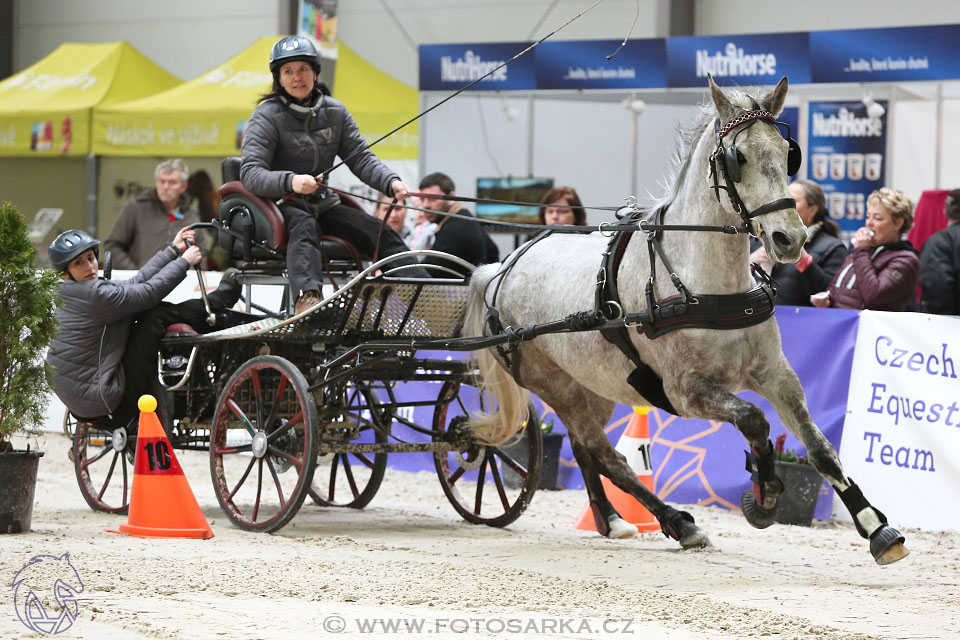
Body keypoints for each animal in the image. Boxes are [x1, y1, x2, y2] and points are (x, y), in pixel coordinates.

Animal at [464, 76, 908, 564]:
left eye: (786, 152)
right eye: (738, 157)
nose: (789, 239)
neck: (710, 286)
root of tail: (501, 269)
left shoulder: (775, 373)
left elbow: (822, 449)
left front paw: (875, 528)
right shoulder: (684, 391)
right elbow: (755, 420)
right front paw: (765, 496)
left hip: (592, 386)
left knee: (585, 447)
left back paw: (611, 519)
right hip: (555, 384)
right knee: (607, 454)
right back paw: (677, 522)